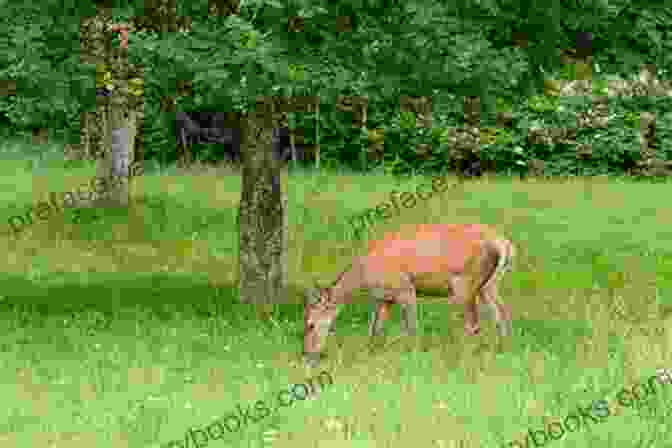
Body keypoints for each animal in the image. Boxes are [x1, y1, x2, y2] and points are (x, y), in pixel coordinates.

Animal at [304, 223, 516, 364]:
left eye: (310, 324)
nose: (308, 354)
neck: (364, 276)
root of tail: (504, 244)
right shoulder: (384, 298)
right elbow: (376, 328)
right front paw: (371, 353)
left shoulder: (405, 288)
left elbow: (411, 326)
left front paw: (413, 354)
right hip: (489, 285)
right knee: (501, 313)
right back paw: (502, 349)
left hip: (465, 282)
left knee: (473, 323)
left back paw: (463, 355)